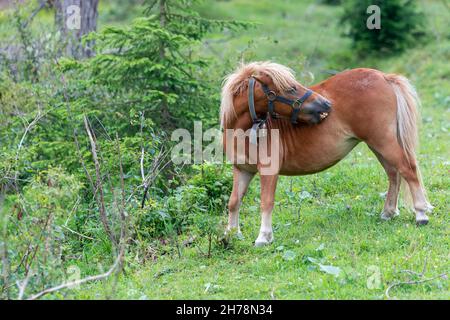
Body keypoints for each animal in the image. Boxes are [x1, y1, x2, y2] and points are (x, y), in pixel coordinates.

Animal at [221, 61, 432, 246]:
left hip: (383, 141)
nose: (326, 105)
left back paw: (421, 214)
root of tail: (384, 77)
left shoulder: (268, 171)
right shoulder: (242, 170)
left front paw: (264, 237)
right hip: (377, 145)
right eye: (290, 88)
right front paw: (231, 234)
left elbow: (266, 202)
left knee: (408, 169)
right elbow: (234, 202)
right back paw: (388, 213)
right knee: (394, 174)